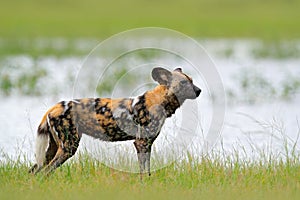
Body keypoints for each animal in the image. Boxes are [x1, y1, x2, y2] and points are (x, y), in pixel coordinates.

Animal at [29, 67, 202, 177]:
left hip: (53, 149)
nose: (199, 90)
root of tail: (54, 107)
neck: (160, 101)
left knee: (35, 171)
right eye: (184, 83)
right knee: (45, 172)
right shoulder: (141, 143)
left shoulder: (147, 144)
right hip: (68, 147)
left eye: (192, 81)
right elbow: (143, 172)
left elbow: (147, 170)